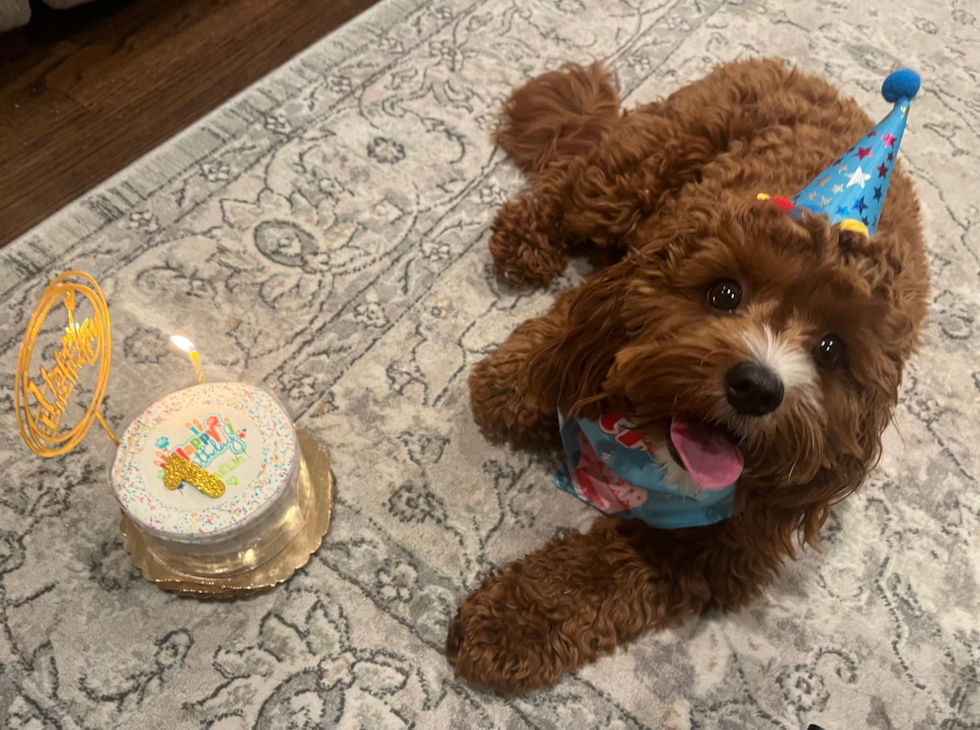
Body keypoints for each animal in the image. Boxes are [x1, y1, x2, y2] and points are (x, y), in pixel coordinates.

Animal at [440, 59, 932, 692]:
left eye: (830, 349)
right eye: (724, 292)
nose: (756, 387)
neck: (642, 445)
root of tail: (822, 83)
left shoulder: (721, 547)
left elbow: (602, 575)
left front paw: (510, 625)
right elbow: (517, 380)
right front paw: (522, 389)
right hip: (635, 170)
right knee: (569, 182)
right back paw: (527, 238)